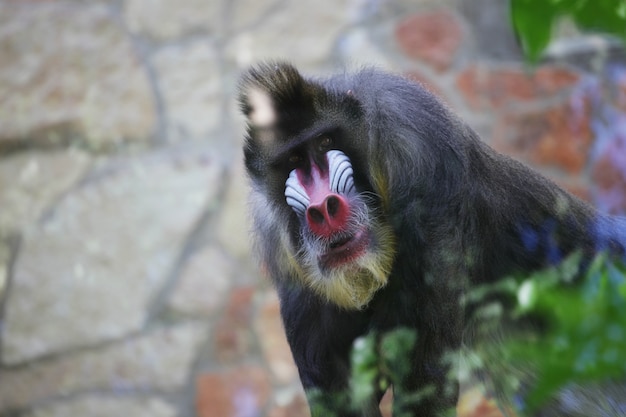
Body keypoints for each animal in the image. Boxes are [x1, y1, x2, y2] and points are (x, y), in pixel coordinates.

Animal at [236, 62, 620, 416]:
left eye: (326, 142)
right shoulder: (287, 261)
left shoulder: (419, 158)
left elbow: (427, 378)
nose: (324, 209)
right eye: (293, 159)